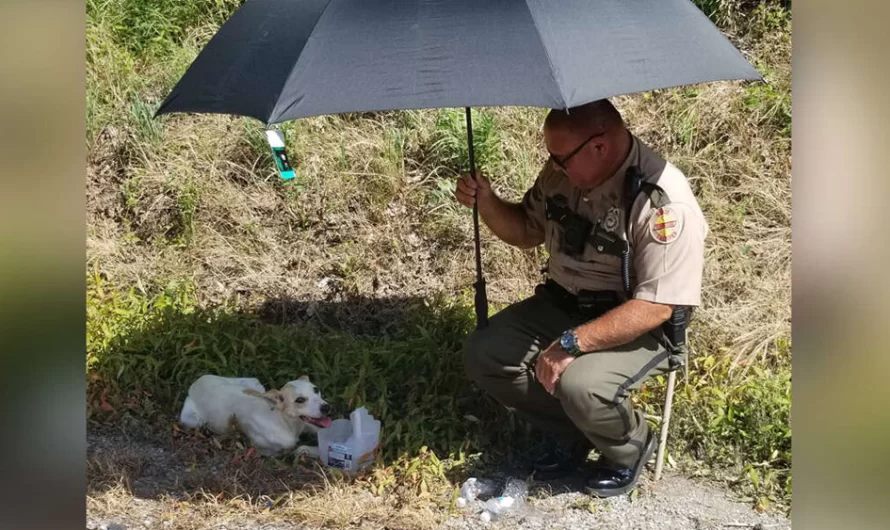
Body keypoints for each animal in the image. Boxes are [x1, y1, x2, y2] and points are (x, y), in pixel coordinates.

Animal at [179, 372, 332, 454]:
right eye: (300, 400)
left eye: (316, 390)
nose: (326, 408)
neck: (282, 421)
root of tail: (196, 382)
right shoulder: (268, 450)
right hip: (194, 421)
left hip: (254, 383)